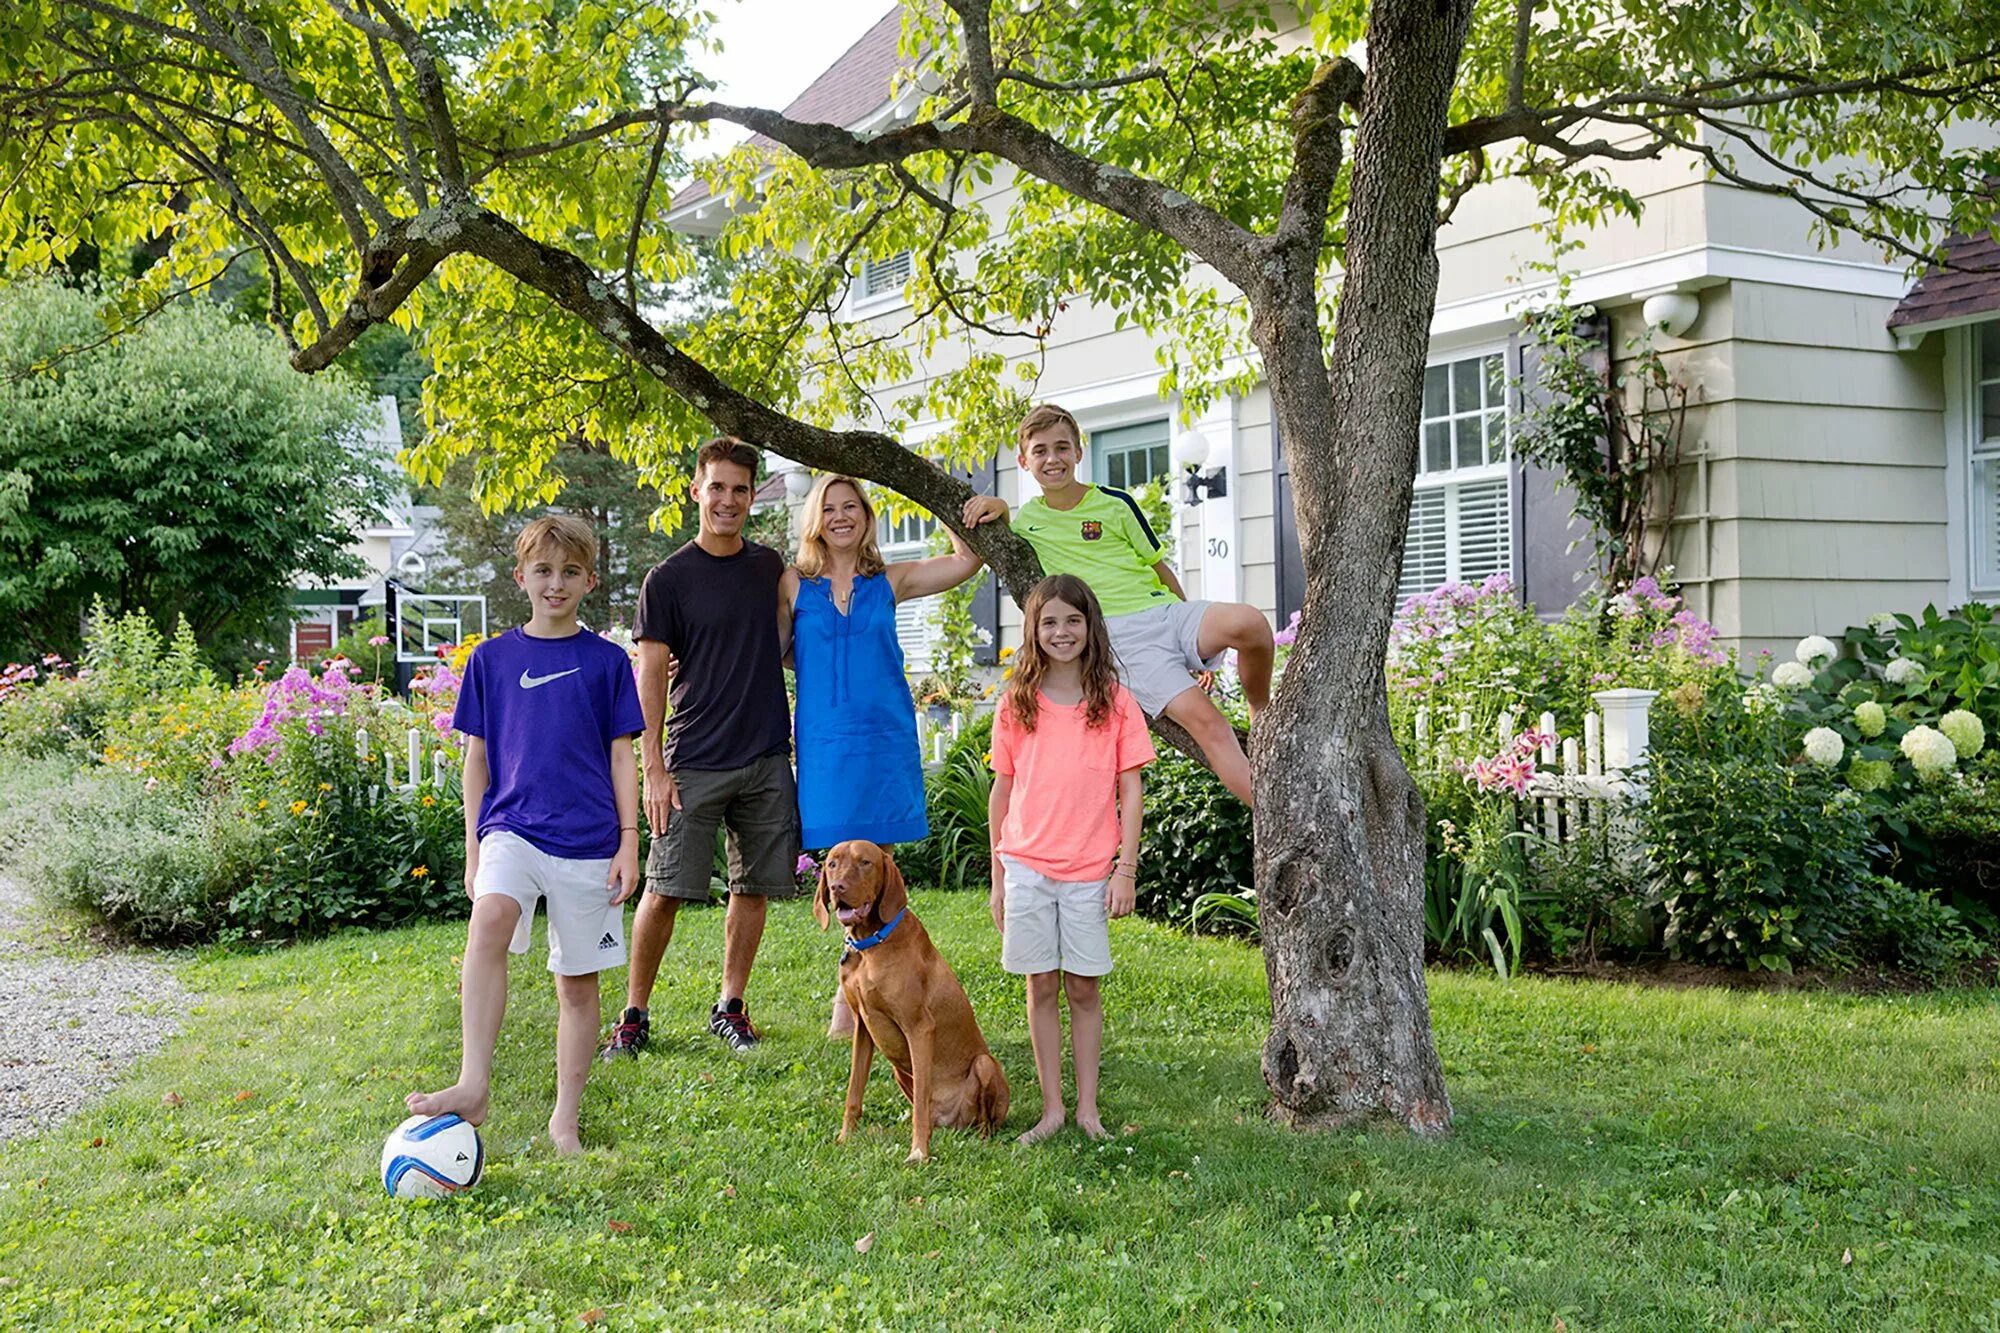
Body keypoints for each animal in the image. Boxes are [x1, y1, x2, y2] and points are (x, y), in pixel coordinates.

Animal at [812, 836, 1008, 1160]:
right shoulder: (863, 1027)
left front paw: (918, 1152)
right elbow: (854, 1091)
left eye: (865, 862)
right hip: (898, 1071)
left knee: (984, 1120)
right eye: (832, 863)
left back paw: (982, 1138)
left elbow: (920, 1106)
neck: (870, 946)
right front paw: (845, 1137)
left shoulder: (919, 1028)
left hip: (984, 1064)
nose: (837, 887)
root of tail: (953, 1123)